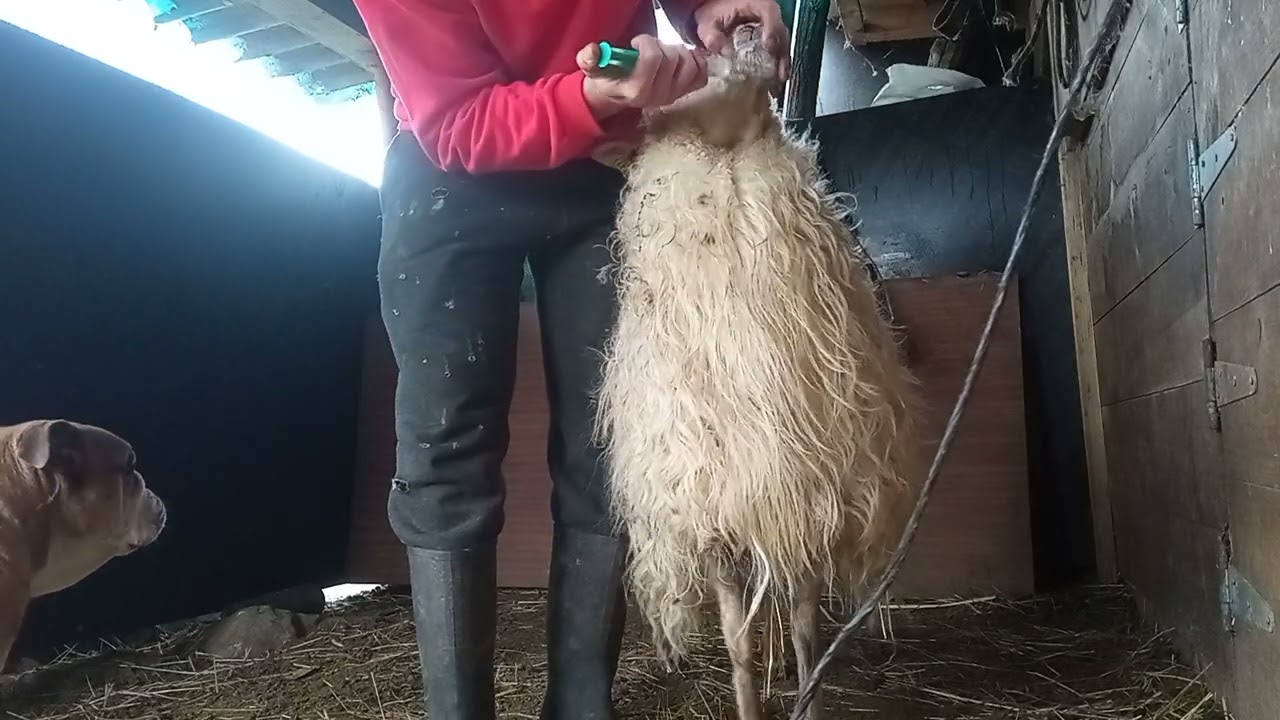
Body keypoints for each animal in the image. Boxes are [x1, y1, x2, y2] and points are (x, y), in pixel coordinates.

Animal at [593, 24, 925, 720]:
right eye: (680, 77)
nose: (745, 27)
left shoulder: (808, 501)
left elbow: (804, 634)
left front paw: (809, 699)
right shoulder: (714, 510)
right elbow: (738, 643)